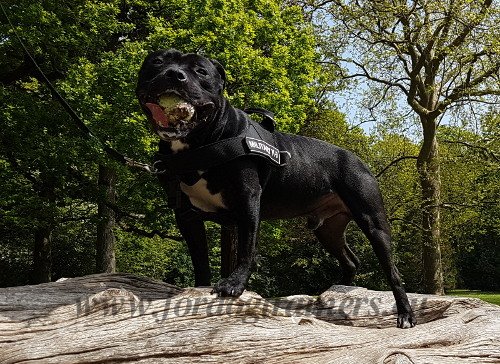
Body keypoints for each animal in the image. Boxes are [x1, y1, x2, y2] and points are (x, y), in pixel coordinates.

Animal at [137, 48, 418, 328]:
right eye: (157, 62)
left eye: (201, 71)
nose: (174, 74)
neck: (199, 146)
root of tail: (359, 159)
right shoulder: (186, 214)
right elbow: (199, 258)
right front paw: (199, 288)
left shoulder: (248, 200)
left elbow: (246, 248)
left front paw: (233, 284)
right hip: (328, 229)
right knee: (350, 261)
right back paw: (336, 295)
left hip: (372, 221)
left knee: (392, 270)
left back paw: (405, 314)